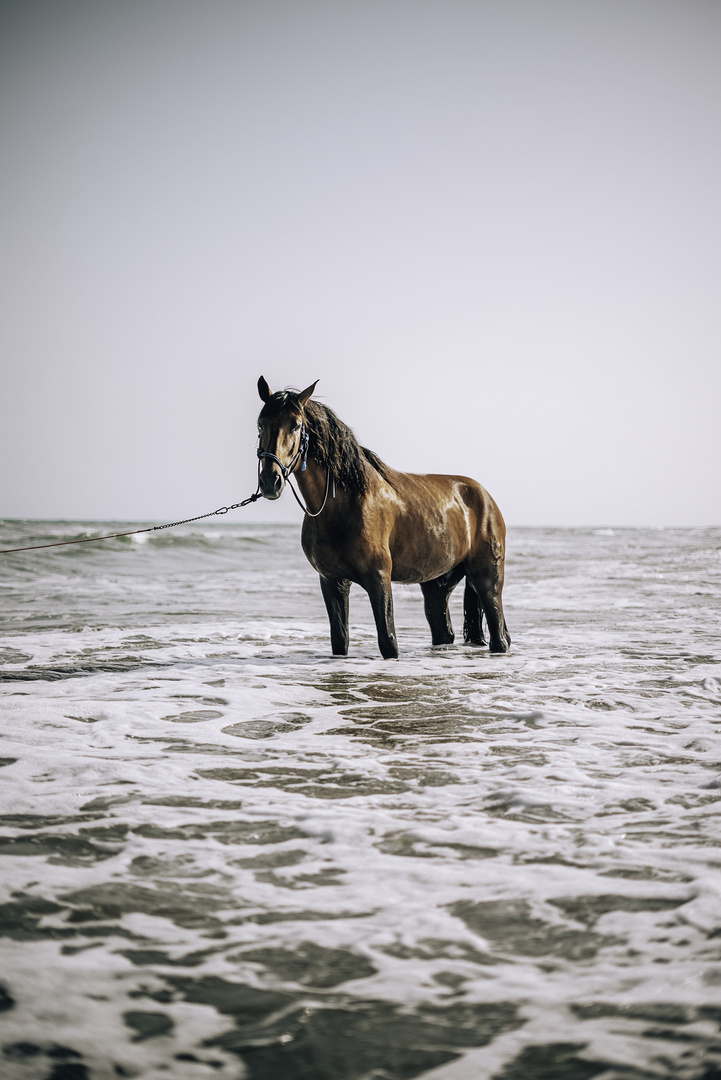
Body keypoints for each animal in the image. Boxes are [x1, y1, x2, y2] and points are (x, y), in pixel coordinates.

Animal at [255, 375, 509, 660]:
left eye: (296, 425)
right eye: (260, 423)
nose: (270, 481)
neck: (344, 506)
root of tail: (485, 496)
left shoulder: (379, 579)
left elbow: (388, 642)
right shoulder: (332, 582)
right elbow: (340, 641)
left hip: (486, 579)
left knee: (499, 634)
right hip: (438, 584)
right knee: (444, 629)